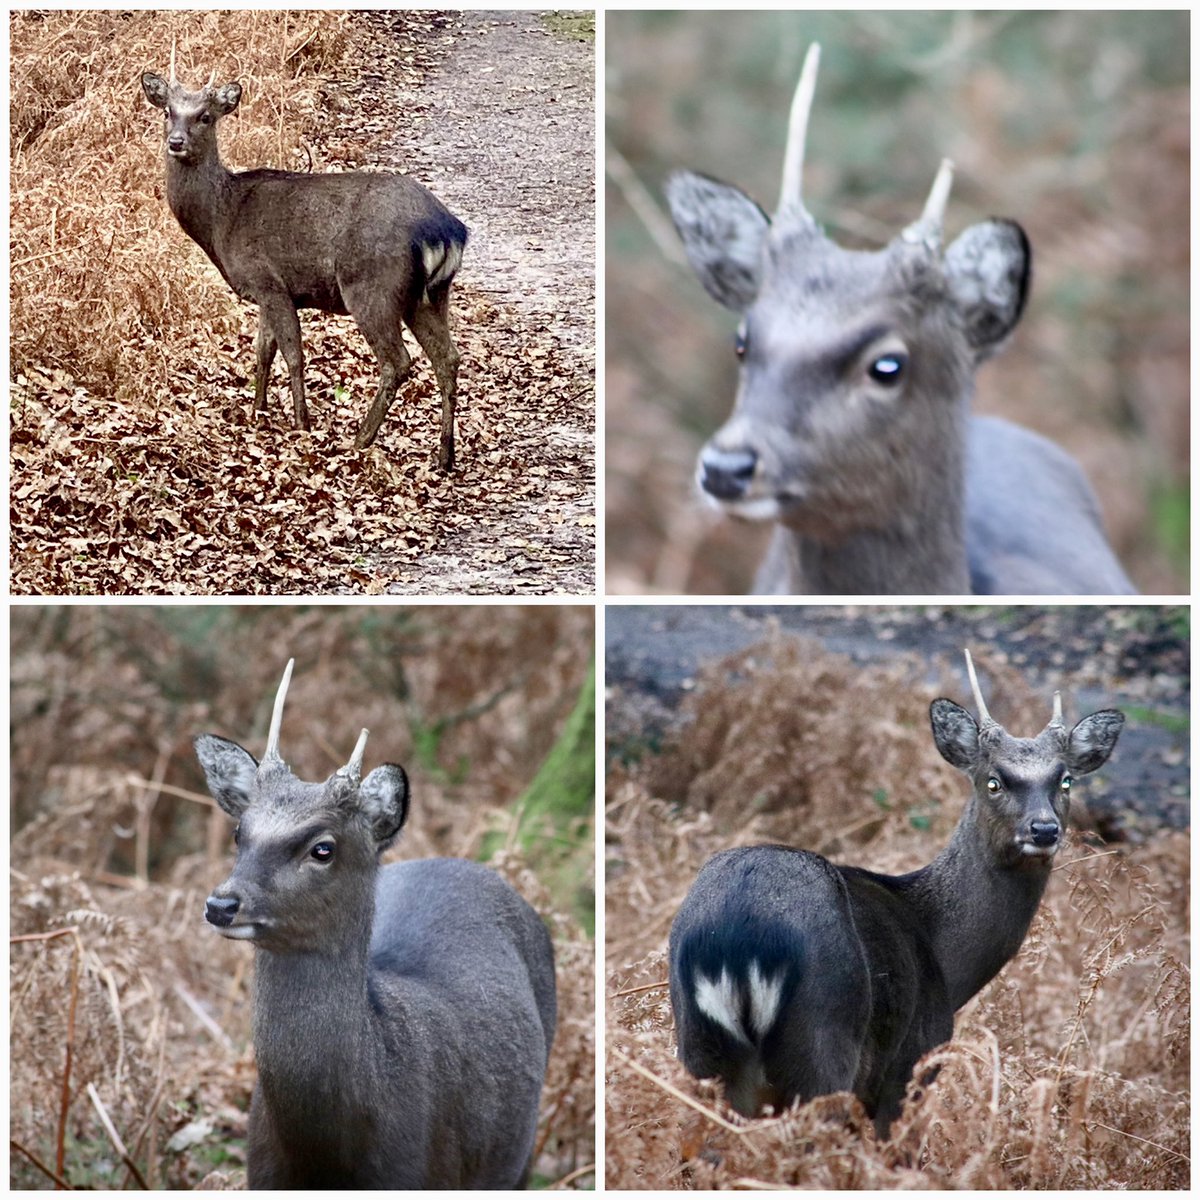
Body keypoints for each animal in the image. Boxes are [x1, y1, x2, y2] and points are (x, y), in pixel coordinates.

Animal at [142, 56, 466, 470]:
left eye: (206, 116)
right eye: (168, 111)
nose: (176, 142)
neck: (221, 220)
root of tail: (448, 229)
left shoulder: (271, 282)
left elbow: (293, 354)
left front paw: (301, 422)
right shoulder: (263, 292)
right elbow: (262, 351)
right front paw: (258, 412)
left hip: (372, 285)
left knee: (398, 361)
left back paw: (360, 439)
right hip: (430, 295)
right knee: (448, 358)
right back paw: (444, 455)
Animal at [668, 649, 1124, 1138]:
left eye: (1065, 780)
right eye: (993, 781)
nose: (1043, 829)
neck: (946, 961)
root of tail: (737, 943)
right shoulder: (913, 1062)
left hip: (700, 1049)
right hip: (824, 1037)